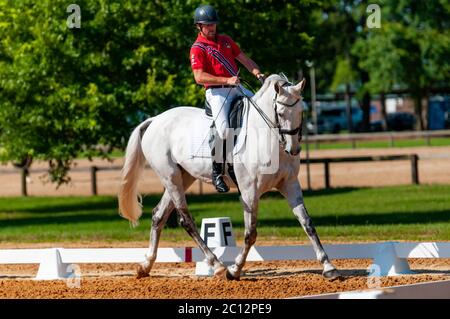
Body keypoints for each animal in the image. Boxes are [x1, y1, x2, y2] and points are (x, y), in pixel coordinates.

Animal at [118, 74, 342, 280]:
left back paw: (145, 265)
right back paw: (217, 265)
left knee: (158, 215)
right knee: (185, 219)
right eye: (279, 112)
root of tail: (155, 120)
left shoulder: (290, 185)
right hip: (170, 176)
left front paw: (329, 267)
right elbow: (250, 233)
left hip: (183, 177)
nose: (293, 149)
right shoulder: (249, 192)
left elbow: (308, 224)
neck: (268, 137)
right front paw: (234, 270)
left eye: (301, 111)